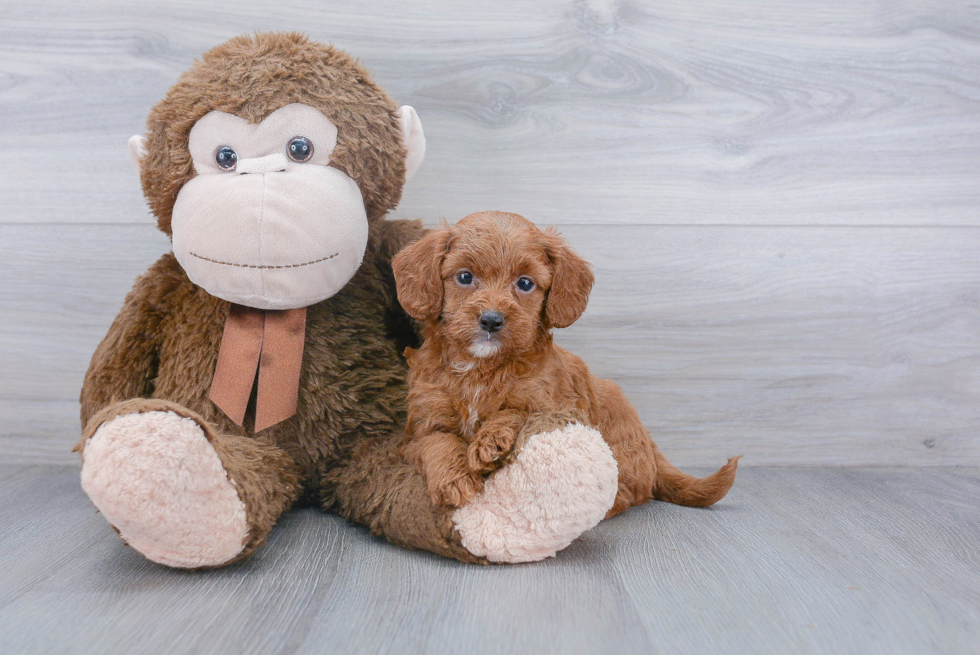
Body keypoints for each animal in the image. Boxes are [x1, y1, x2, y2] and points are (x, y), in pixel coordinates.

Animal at [390, 213, 736, 516]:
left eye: (525, 283)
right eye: (464, 277)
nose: (491, 320)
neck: (481, 368)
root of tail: (650, 443)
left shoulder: (554, 405)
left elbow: (516, 411)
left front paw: (490, 442)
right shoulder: (419, 428)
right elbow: (437, 442)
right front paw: (455, 480)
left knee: (629, 492)